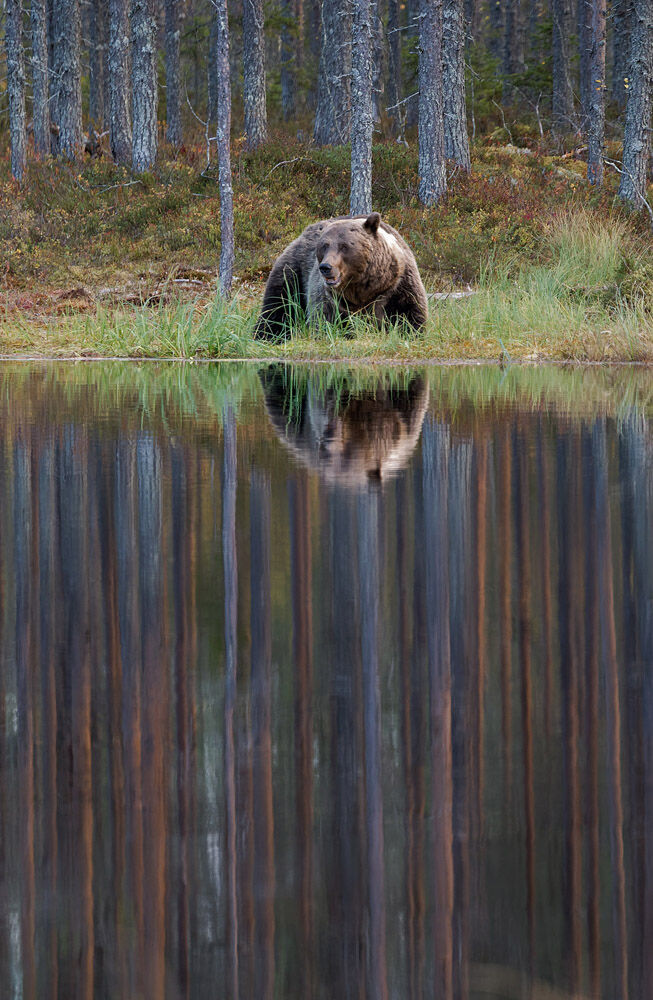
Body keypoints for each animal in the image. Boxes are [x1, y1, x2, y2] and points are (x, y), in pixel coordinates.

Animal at [254, 212, 429, 340]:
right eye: (324, 245)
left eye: (344, 246)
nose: (325, 267)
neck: (362, 288)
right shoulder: (332, 299)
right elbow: (325, 320)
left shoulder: (397, 285)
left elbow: (410, 314)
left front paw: (412, 332)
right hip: (293, 272)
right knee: (278, 306)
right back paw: (267, 334)